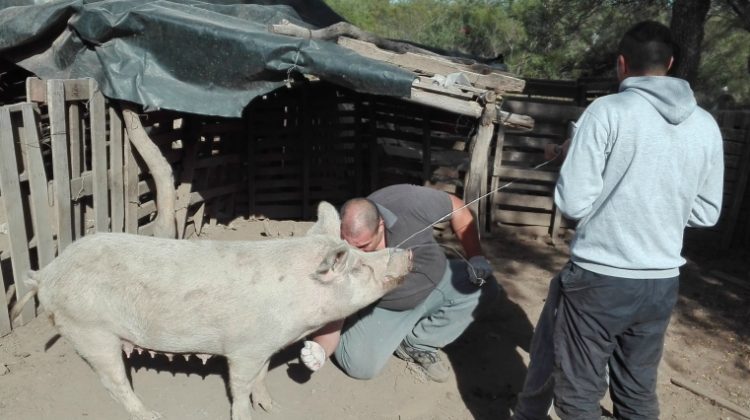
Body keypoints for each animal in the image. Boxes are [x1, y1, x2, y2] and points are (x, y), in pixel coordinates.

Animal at [10, 202, 412, 418]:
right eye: (359, 267)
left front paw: (275, 408)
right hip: (90, 329)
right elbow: (240, 386)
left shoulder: (264, 347)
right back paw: (152, 414)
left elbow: (261, 379)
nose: (406, 253)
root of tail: (47, 274)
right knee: (114, 381)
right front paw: (248, 414)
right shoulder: (243, 349)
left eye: (360, 253)